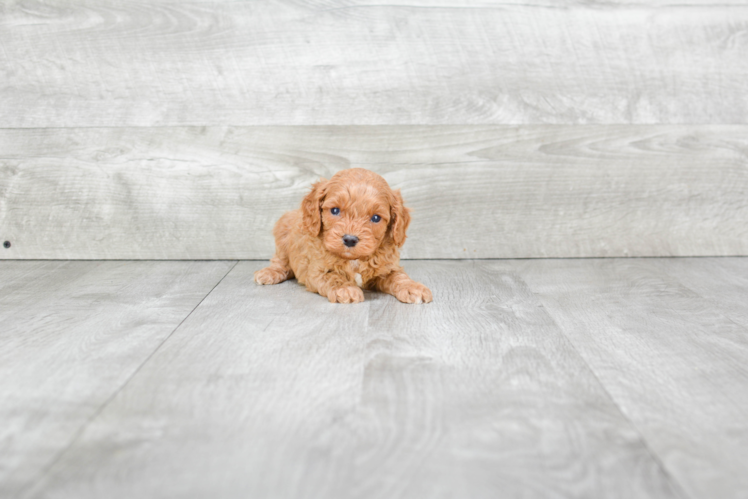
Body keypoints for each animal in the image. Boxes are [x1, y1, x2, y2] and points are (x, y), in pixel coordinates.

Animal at [256, 168, 432, 302]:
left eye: (376, 218)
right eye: (335, 210)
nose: (350, 239)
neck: (355, 260)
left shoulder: (387, 268)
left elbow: (398, 276)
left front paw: (413, 287)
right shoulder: (318, 271)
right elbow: (333, 277)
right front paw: (346, 289)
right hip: (283, 232)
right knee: (280, 261)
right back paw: (269, 273)